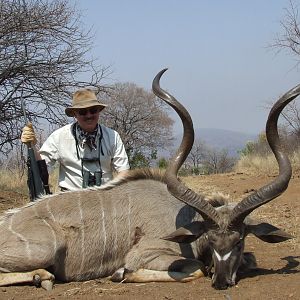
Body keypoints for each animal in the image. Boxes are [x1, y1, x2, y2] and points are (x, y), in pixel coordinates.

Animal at [0, 69, 296, 290]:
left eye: (239, 241)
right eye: (211, 241)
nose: (222, 282)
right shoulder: (147, 253)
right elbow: (197, 269)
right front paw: (122, 273)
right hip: (45, 249)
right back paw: (43, 276)